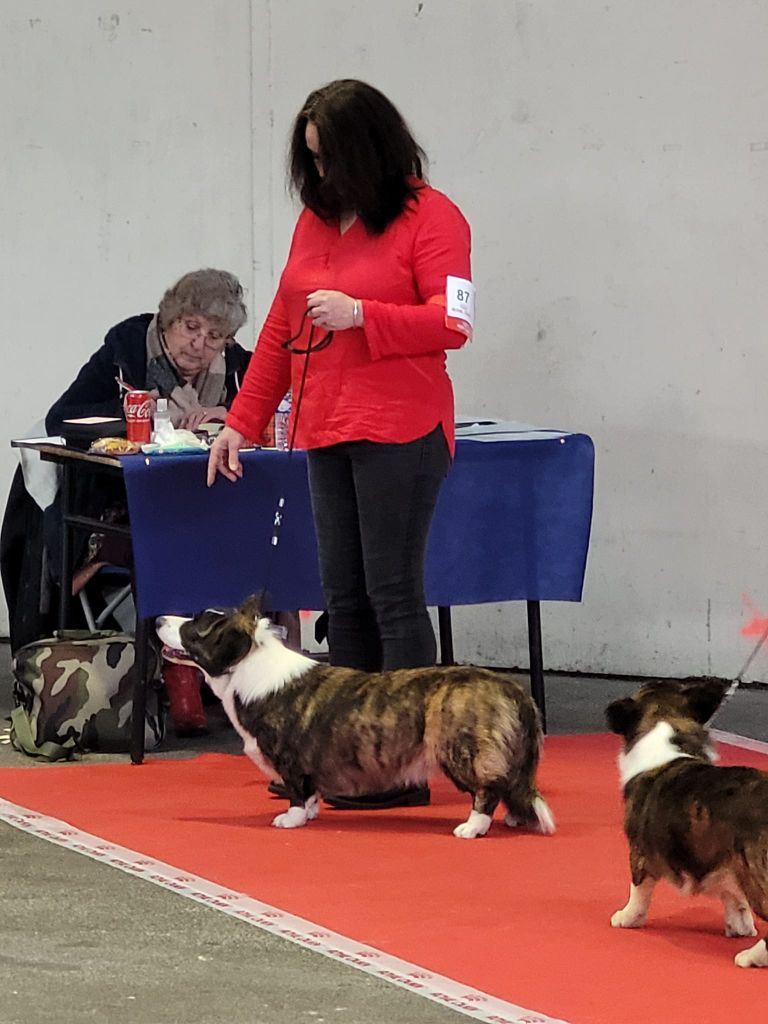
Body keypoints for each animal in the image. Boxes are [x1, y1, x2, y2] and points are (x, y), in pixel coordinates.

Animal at [156, 595, 555, 839]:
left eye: (196, 626)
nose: (158, 618)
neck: (248, 666)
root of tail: (513, 689)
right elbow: (310, 793)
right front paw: (311, 813)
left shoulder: (290, 760)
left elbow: (296, 792)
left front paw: (291, 819)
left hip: (462, 750)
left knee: (487, 788)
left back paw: (472, 827)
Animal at [606, 678, 768, 968]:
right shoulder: (724, 861)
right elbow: (734, 900)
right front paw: (739, 927)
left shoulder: (639, 853)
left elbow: (638, 891)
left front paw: (627, 917)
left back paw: (750, 957)